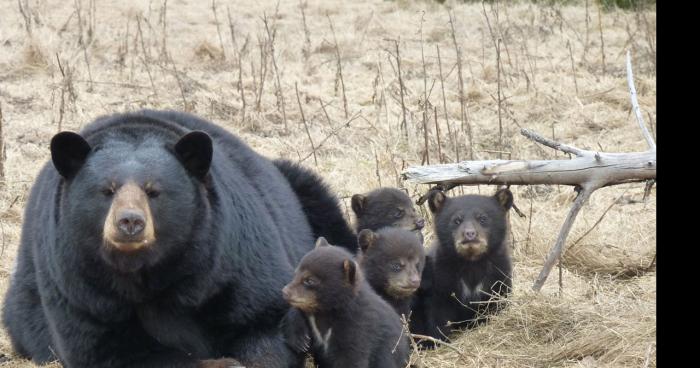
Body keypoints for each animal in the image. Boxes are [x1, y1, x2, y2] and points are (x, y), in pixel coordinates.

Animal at [0, 110, 326, 368]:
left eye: (153, 190)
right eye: (107, 190)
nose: (130, 222)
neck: (149, 272)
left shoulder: (231, 258)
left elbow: (264, 319)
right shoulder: (82, 287)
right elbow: (109, 350)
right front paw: (225, 364)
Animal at [280, 237, 410, 366]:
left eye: (310, 280)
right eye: (296, 273)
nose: (285, 292)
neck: (327, 310)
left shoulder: (356, 326)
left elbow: (351, 357)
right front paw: (301, 341)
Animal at [410, 188, 516, 344]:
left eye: (482, 218)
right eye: (456, 220)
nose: (470, 234)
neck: (471, 262)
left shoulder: (499, 273)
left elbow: (498, 299)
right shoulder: (441, 276)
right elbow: (438, 311)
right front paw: (439, 340)